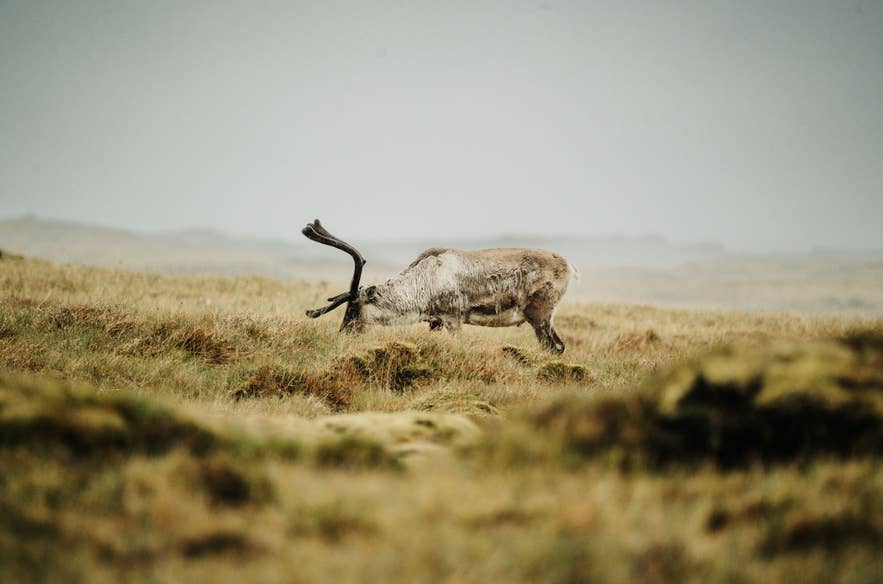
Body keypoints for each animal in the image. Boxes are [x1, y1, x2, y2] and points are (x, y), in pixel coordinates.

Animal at [301, 219, 574, 353]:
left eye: (353, 309)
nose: (343, 334)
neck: (424, 282)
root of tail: (568, 265)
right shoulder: (435, 321)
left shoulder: (453, 318)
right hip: (544, 318)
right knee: (559, 347)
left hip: (539, 315)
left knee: (552, 347)